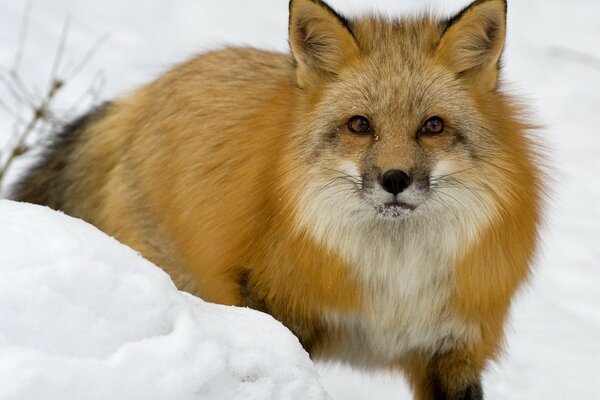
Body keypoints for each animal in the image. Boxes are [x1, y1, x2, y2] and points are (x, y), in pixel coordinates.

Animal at [10, 0, 544, 398]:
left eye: (432, 126)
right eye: (360, 125)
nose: (395, 179)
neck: (394, 282)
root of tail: (147, 92)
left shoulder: (453, 349)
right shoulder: (277, 308)